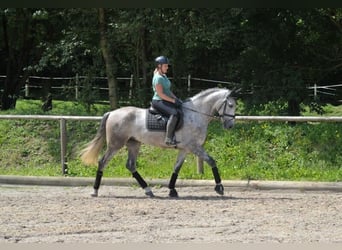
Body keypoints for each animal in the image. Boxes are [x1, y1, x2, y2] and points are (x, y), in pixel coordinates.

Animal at [80, 87, 236, 197]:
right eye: (230, 105)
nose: (230, 126)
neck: (195, 114)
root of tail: (112, 113)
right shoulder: (194, 147)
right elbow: (211, 161)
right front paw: (219, 187)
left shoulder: (185, 149)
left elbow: (176, 168)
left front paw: (172, 190)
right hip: (115, 144)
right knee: (102, 162)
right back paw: (95, 191)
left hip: (133, 144)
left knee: (130, 165)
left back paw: (148, 190)